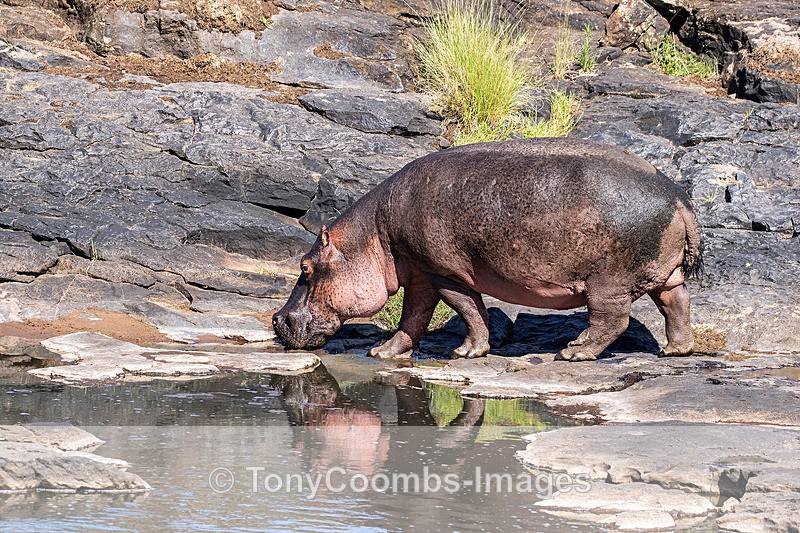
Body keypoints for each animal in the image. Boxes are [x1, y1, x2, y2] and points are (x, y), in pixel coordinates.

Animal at [273, 138, 702, 362]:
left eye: (305, 267)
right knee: (677, 304)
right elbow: (413, 318)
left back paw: (572, 352)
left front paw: (465, 353)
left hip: (607, 281)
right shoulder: (420, 274)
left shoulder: (444, 272)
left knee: (613, 319)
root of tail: (680, 198)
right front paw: (383, 352)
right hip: (665, 275)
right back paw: (675, 351)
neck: (372, 236)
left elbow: (468, 309)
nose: (277, 320)